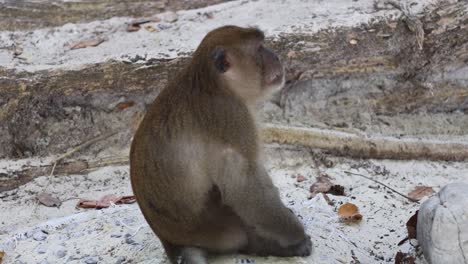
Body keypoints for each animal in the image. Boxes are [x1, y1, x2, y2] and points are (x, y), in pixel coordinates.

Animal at [129, 25, 310, 264]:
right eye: (259, 49)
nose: (277, 57)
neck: (216, 84)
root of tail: (171, 244)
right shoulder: (232, 115)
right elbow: (244, 182)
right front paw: (296, 235)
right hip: (221, 228)